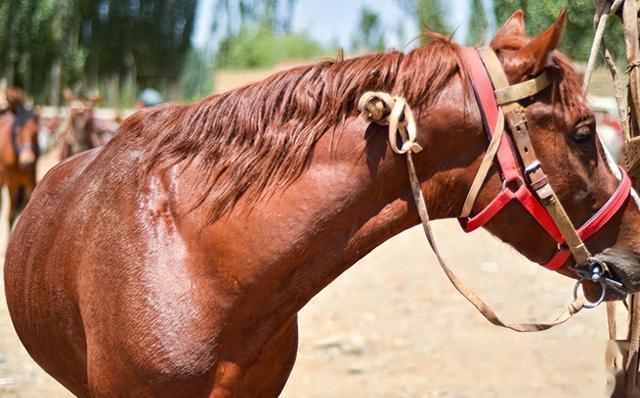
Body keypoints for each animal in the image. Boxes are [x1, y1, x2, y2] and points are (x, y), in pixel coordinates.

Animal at [0, 88, 38, 229]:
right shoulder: (12, 181)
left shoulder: (31, 178)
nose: (27, 160)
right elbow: (11, 215)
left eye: (36, 132)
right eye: (17, 131)